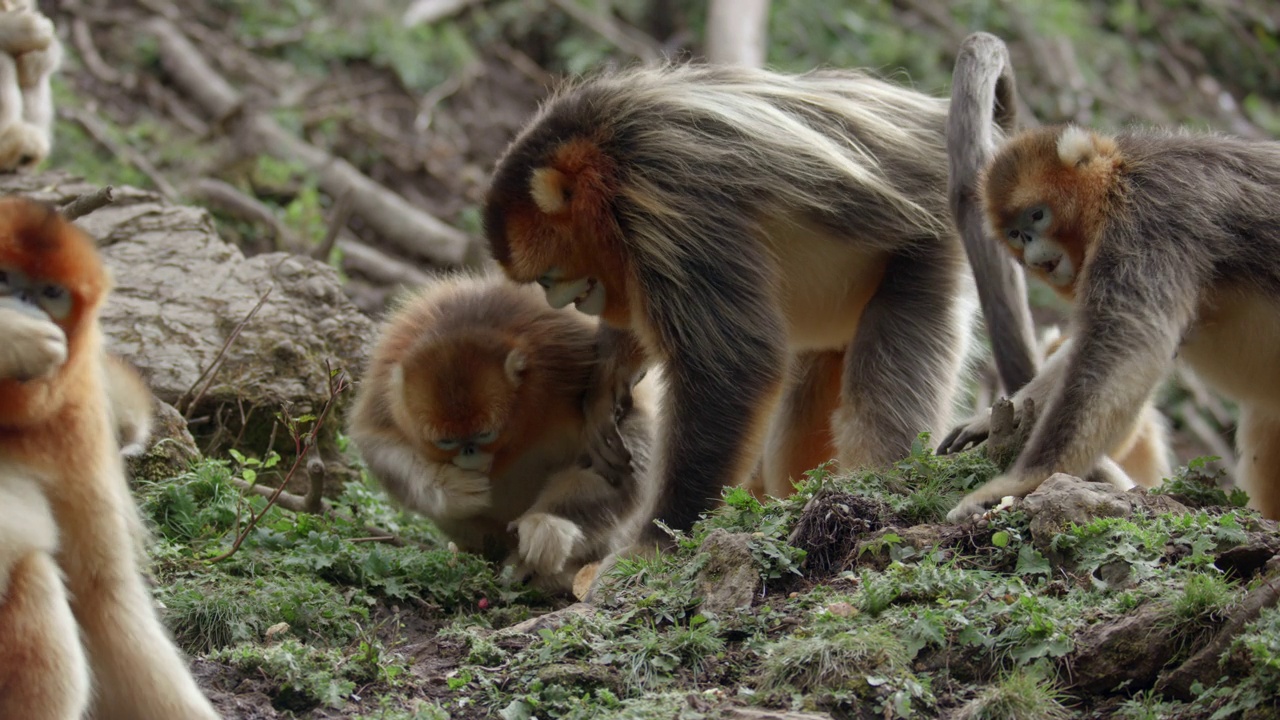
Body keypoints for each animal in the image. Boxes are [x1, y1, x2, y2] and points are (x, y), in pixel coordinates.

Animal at [0, 196, 220, 717]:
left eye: (52, 293)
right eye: (2, 278)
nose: (24, 307)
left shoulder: (78, 424)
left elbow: (103, 597)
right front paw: (13, 336)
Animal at [348, 271, 660, 591]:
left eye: (485, 435)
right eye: (446, 441)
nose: (469, 453)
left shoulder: (573, 358)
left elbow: (630, 437)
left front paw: (548, 523)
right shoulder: (383, 387)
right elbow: (377, 445)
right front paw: (449, 486)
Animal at [481, 63, 1039, 538]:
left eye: (546, 276)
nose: (558, 299)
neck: (606, 146)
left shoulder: (667, 193)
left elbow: (735, 367)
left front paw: (655, 542)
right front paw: (608, 378)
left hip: (932, 242)